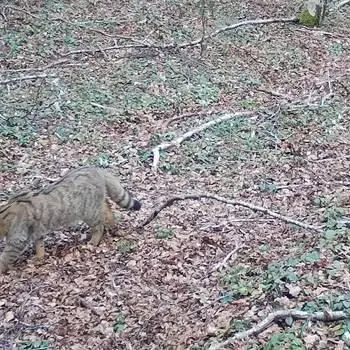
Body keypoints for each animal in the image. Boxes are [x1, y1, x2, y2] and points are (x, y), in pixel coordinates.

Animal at [0, 167, 141, 274]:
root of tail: (95, 168)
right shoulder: (36, 231)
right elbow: (39, 246)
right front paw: (39, 258)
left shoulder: (17, 240)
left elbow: (5, 258)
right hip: (96, 205)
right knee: (108, 208)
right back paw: (113, 225)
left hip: (89, 211)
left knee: (99, 226)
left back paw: (93, 242)